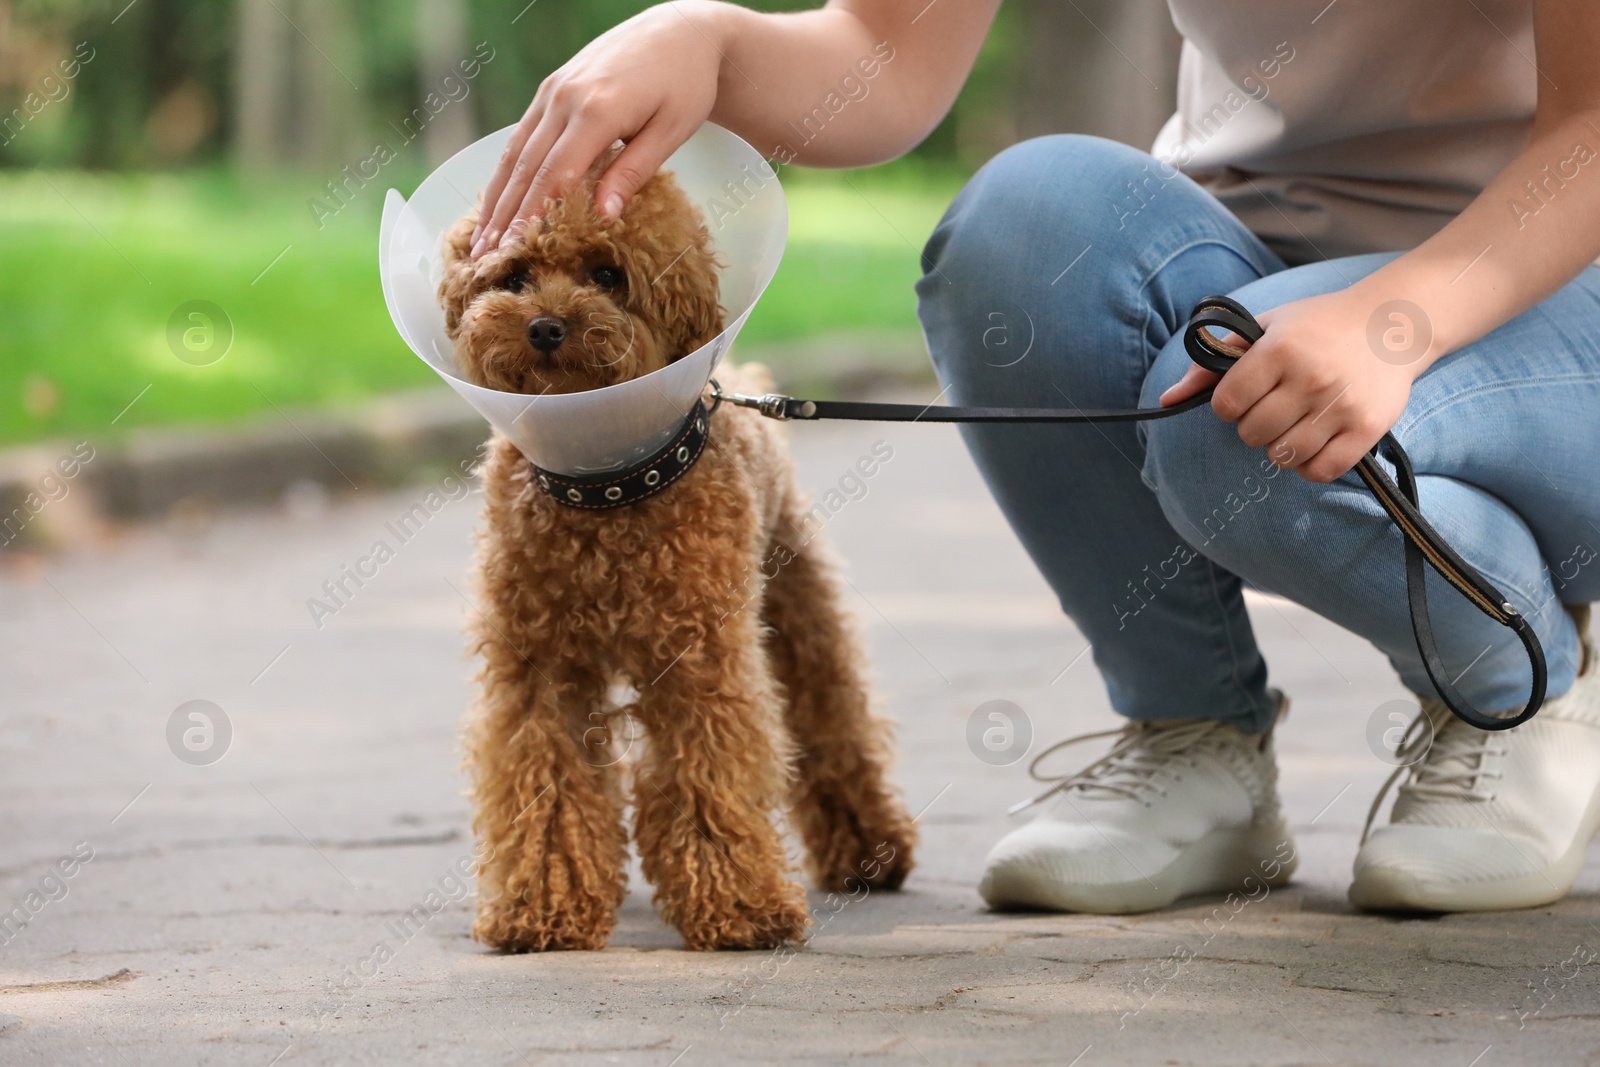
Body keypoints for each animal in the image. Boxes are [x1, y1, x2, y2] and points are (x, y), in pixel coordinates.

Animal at [435, 160, 915, 953]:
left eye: (607, 273)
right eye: (514, 275)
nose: (545, 326)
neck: (605, 490)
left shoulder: (698, 655)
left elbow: (709, 768)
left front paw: (738, 904)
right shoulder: (538, 663)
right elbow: (546, 778)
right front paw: (544, 905)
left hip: (798, 605)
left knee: (832, 717)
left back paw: (870, 851)